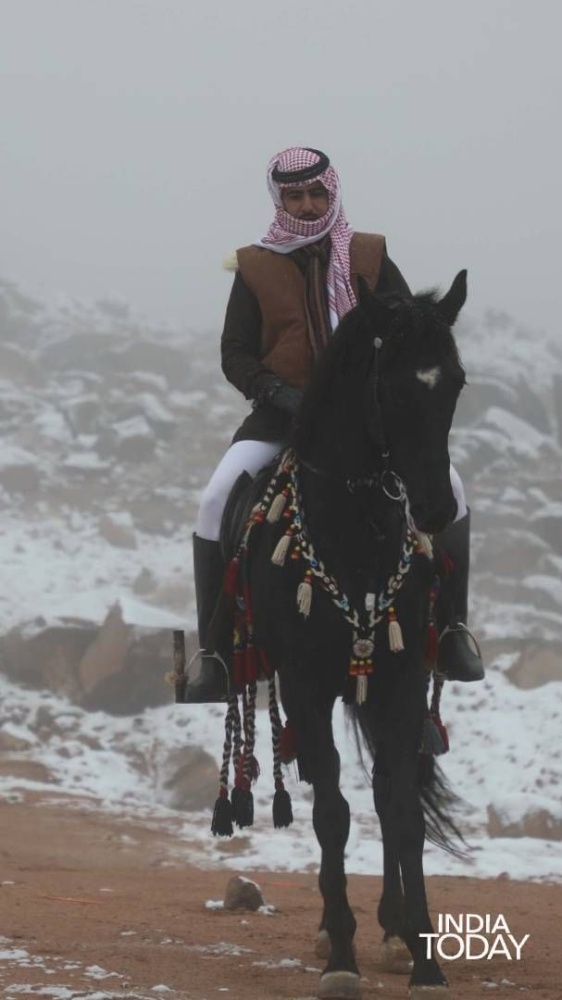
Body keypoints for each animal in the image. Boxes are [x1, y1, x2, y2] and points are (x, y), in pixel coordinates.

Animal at [207, 274, 468, 1000]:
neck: (356, 532)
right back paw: (340, 929)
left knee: (384, 790)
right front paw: (342, 957)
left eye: (456, 383)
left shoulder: (401, 680)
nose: (435, 509)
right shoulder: (306, 683)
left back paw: (393, 930)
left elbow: (401, 811)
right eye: (396, 389)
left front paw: (425, 958)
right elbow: (330, 812)